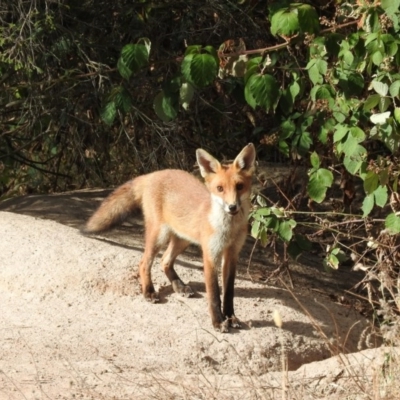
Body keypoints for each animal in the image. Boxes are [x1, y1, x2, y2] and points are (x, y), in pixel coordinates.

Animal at [83, 143, 256, 332]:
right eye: (220, 189)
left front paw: (231, 317)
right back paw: (149, 292)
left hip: (183, 238)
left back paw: (179, 286)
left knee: (164, 260)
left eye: (239, 186)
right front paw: (218, 321)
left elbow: (229, 293)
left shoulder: (232, 254)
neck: (229, 230)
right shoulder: (210, 254)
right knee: (144, 263)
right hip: (160, 235)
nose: (232, 207)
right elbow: (214, 294)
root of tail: (153, 174)